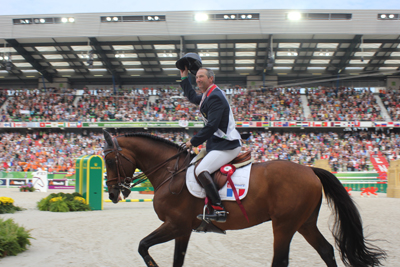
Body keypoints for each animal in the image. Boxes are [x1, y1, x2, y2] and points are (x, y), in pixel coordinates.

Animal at [102, 132, 384, 267]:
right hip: (304, 223)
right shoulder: (183, 229)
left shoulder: (175, 224)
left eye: (109, 159)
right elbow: (176, 260)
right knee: (326, 251)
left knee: (281, 260)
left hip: (284, 225)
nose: (113, 194)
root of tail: (309, 170)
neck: (171, 172)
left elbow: (142, 246)